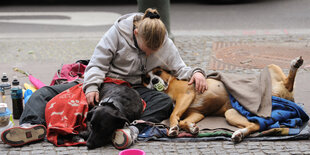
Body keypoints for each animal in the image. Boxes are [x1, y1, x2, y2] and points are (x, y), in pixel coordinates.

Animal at [143, 56, 306, 142]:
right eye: (146, 79)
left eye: (158, 72)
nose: (154, 81)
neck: (169, 85)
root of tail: (287, 96)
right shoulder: (197, 113)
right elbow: (183, 120)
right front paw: (191, 127)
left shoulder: (186, 95)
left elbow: (173, 115)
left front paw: (172, 128)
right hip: (231, 113)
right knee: (255, 125)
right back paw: (239, 134)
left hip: (271, 68)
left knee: (288, 82)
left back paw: (295, 64)